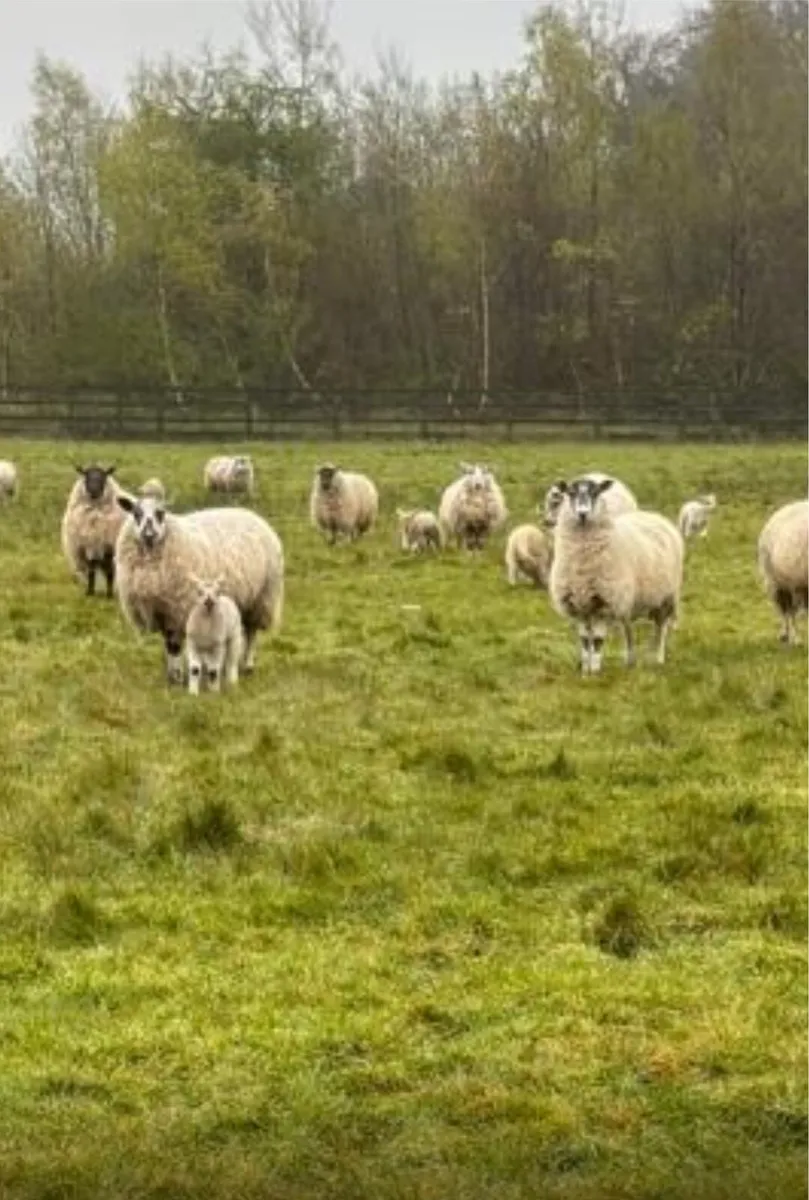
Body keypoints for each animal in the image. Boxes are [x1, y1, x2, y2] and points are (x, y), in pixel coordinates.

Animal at [61, 464, 128, 598]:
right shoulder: (88, 545)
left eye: (104, 475)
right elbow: (91, 571)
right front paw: (90, 592)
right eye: (86, 474)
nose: (94, 490)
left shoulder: (108, 546)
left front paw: (109, 594)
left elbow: (110, 572)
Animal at [114, 495, 284, 684]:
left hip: (261, 597)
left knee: (251, 632)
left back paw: (247, 665)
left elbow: (173, 644)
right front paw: (171, 675)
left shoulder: (176, 610)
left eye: (161, 513)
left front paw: (177, 677)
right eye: (136, 513)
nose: (149, 534)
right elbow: (167, 644)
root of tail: (252, 515)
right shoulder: (162, 610)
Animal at [549, 476, 684, 675]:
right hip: (628, 601)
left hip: (667, 597)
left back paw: (658, 659)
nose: (583, 513)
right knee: (628, 630)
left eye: (596, 492)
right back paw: (629, 661)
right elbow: (584, 640)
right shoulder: (578, 605)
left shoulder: (603, 602)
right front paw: (585, 671)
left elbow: (597, 641)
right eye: (571, 493)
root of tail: (653, 515)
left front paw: (595, 671)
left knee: (661, 628)